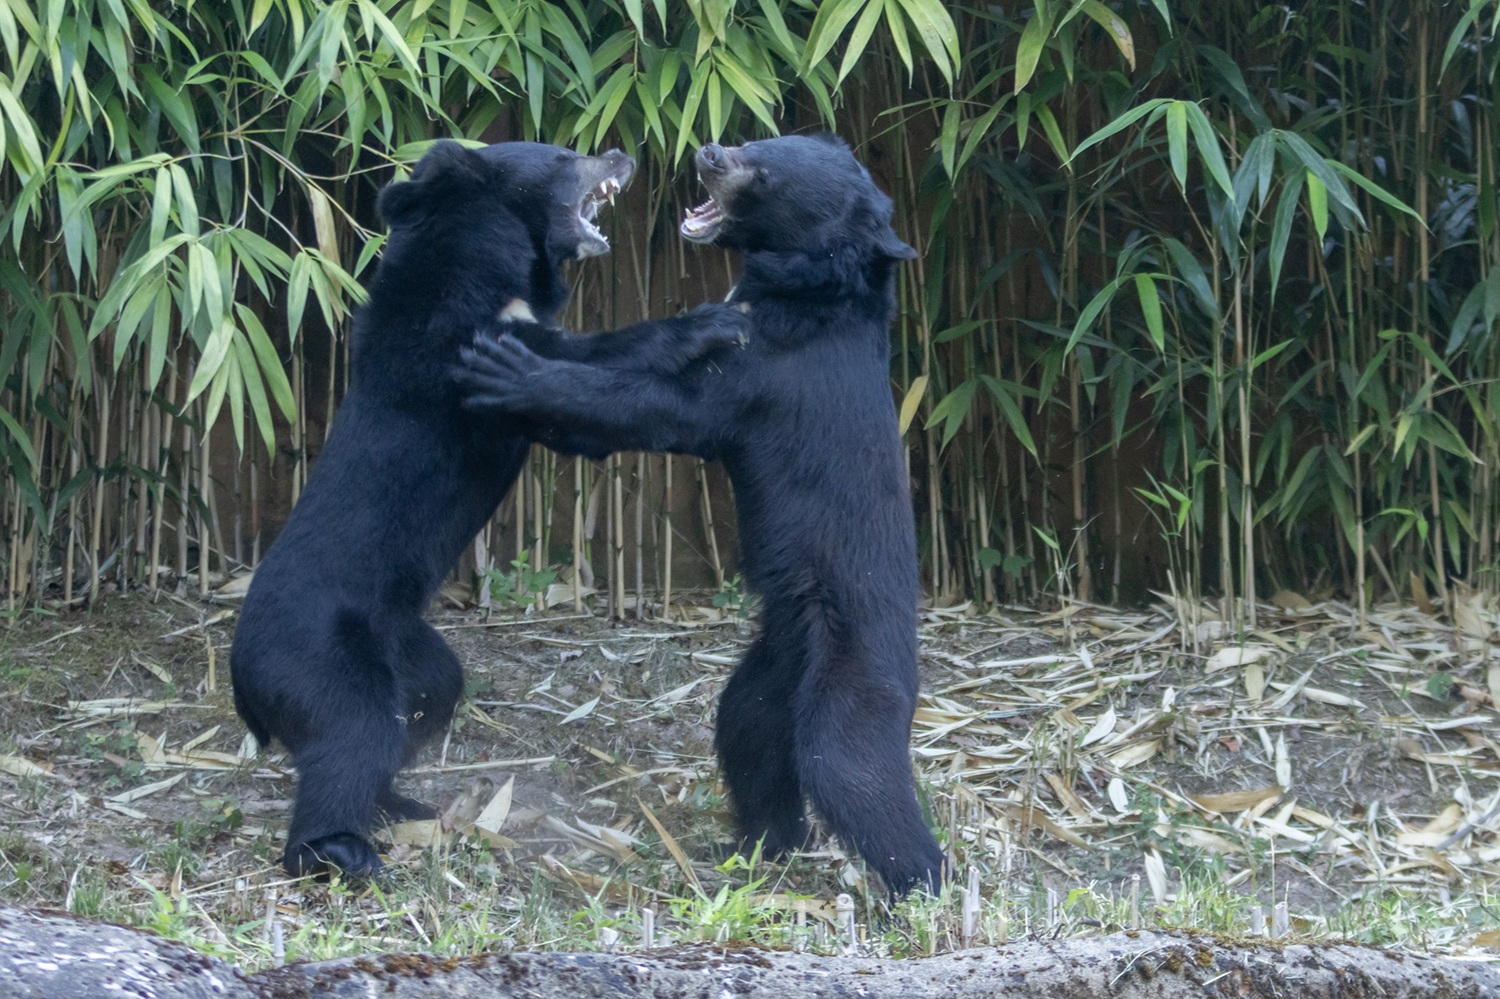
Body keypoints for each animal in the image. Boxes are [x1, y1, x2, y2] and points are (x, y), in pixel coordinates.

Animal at [231, 139, 747, 879]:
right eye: (564, 156)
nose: (621, 152)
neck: (478, 263)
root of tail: (243, 681)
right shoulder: (463, 349)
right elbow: (582, 369)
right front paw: (714, 321)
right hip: (318, 656)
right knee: (351, 735)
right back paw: (340, 851)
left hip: (409, 652)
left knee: (424, 702)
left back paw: (398, 802)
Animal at [455, 135, 947, 896]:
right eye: (765, 137)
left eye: (763, 172)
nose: (709, 148)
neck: (806, 292)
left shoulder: (763, 374)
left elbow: (654, 408)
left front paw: (511, 372)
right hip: (768, 678)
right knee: (747, 735)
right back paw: (759, 847)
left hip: (851, 683)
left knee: (854, 773)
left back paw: (922, 888)